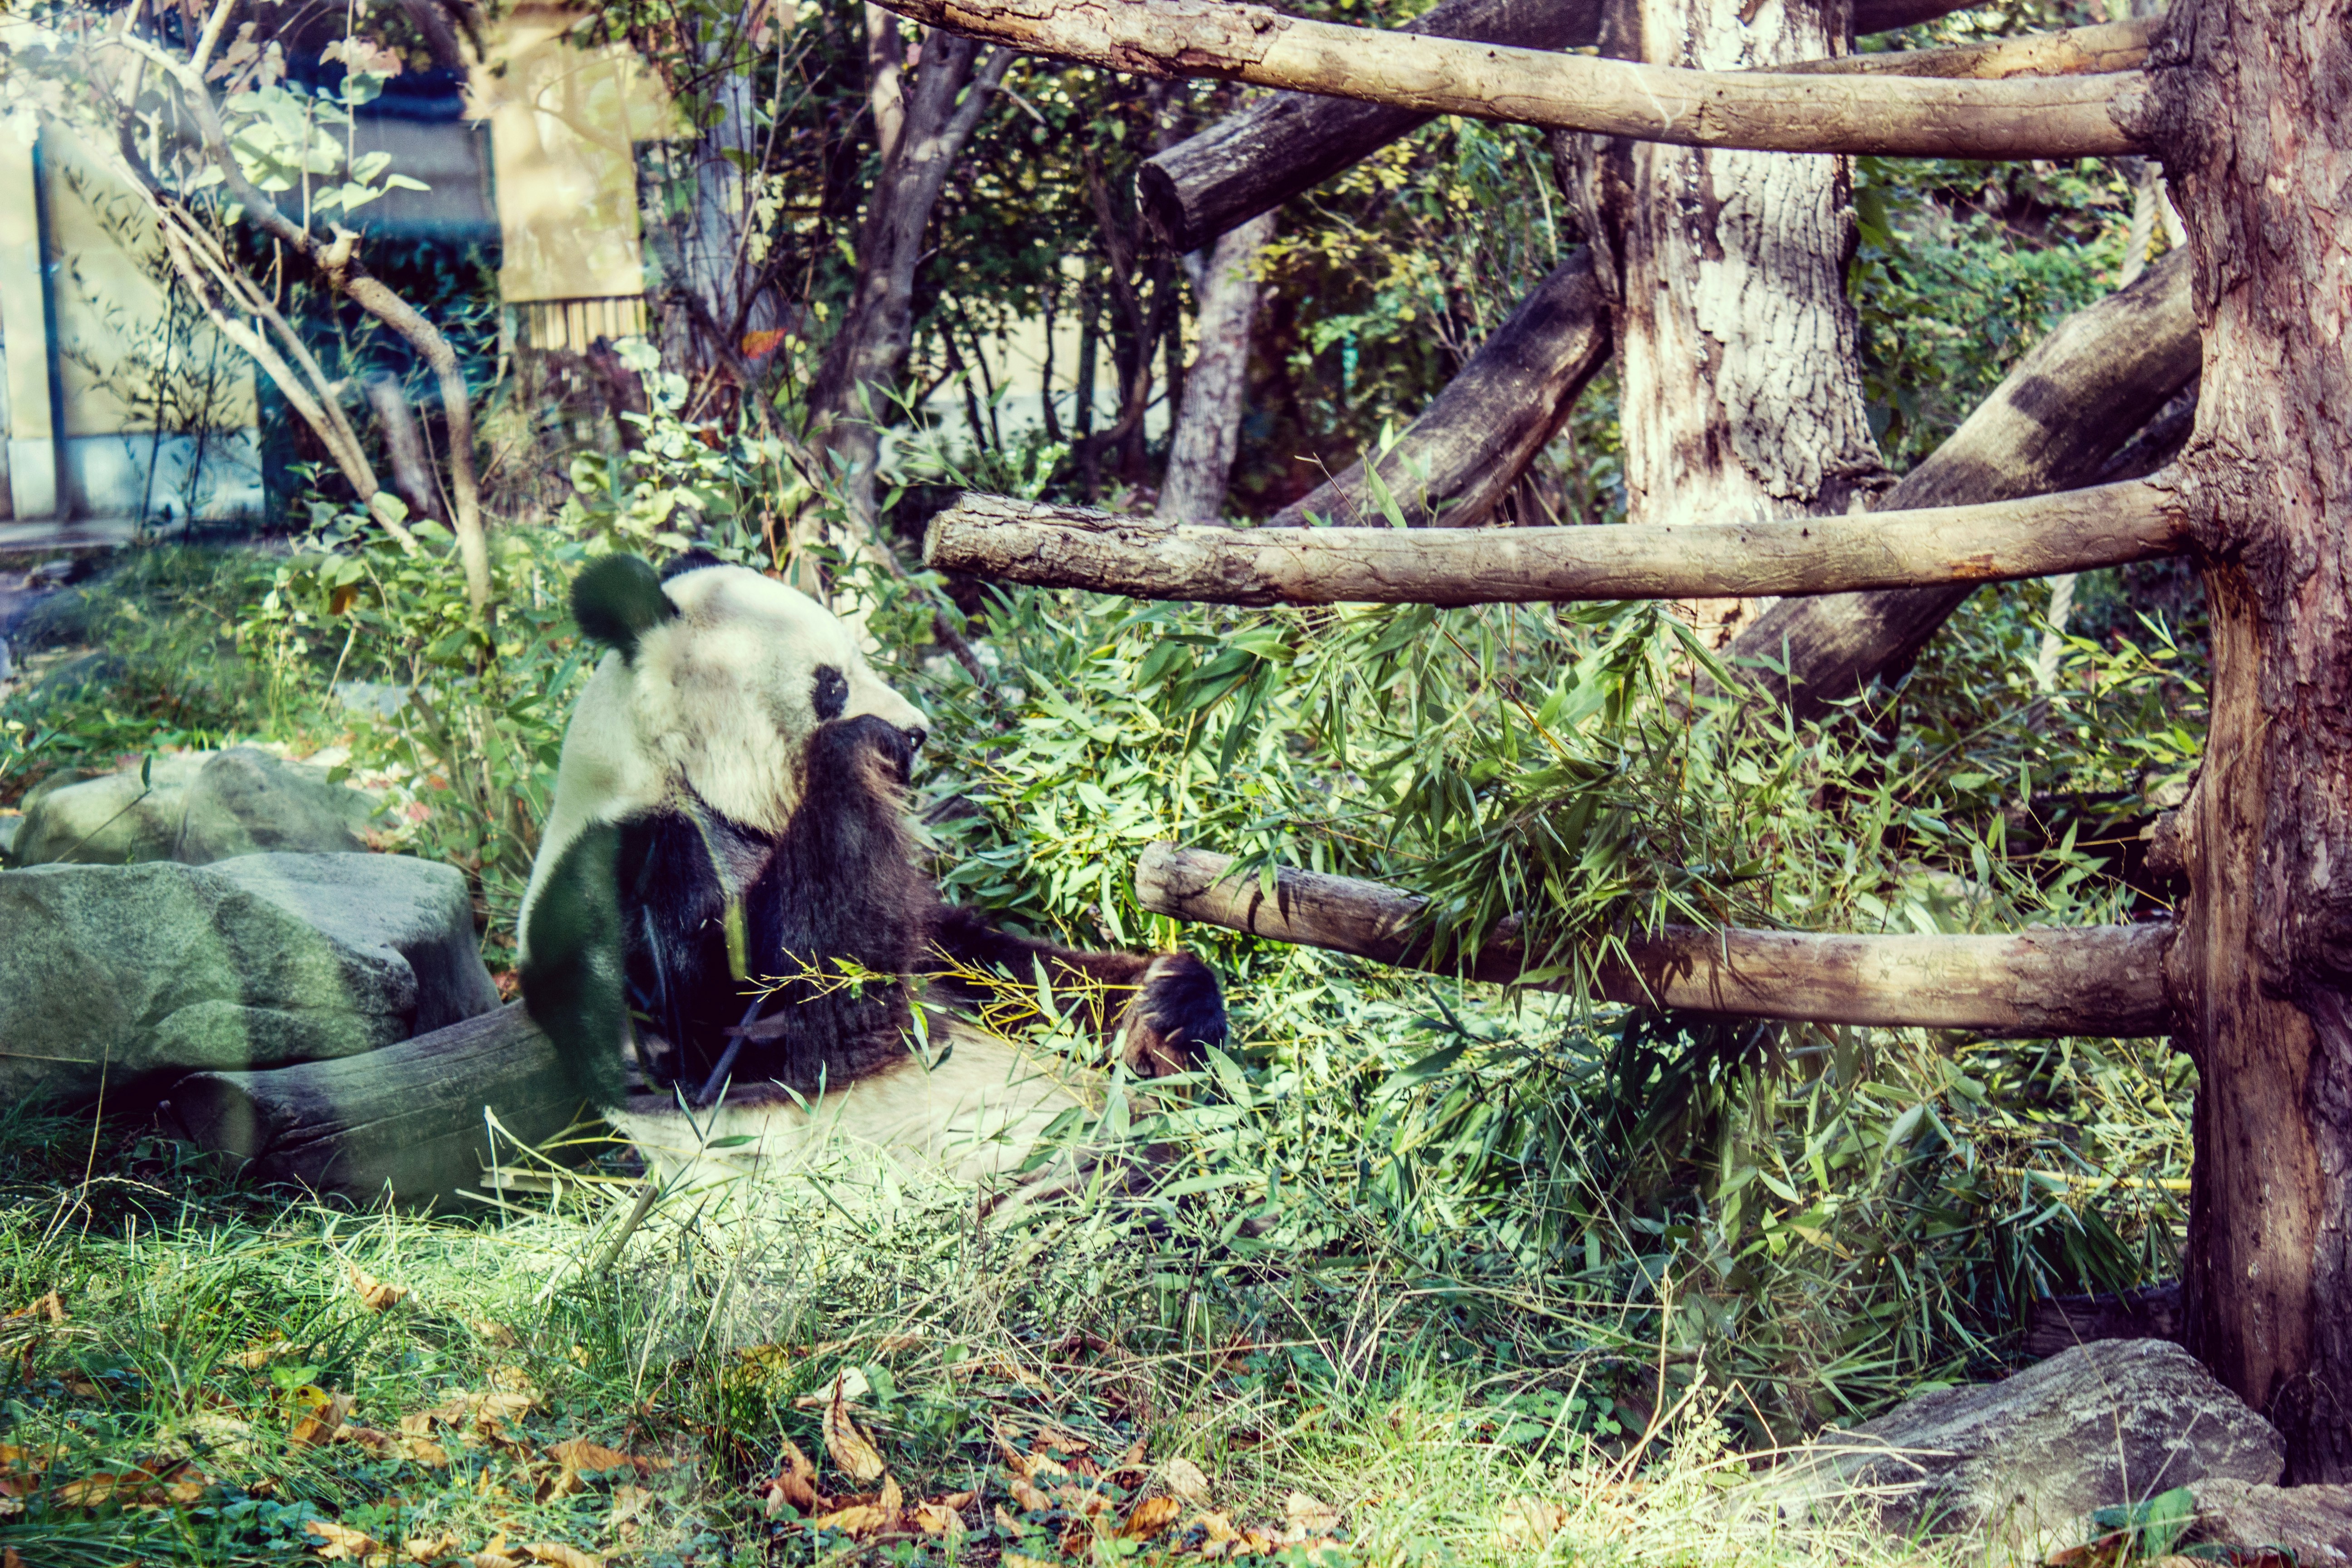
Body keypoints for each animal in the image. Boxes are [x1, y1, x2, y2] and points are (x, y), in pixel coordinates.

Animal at [516, 551, 1227, 1187]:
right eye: (831, 683)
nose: (915, 732)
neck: (668, 772)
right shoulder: (634, 879)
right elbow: (763, 1027)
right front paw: (857, 745)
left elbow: (988, 968)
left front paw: (1165, 999)